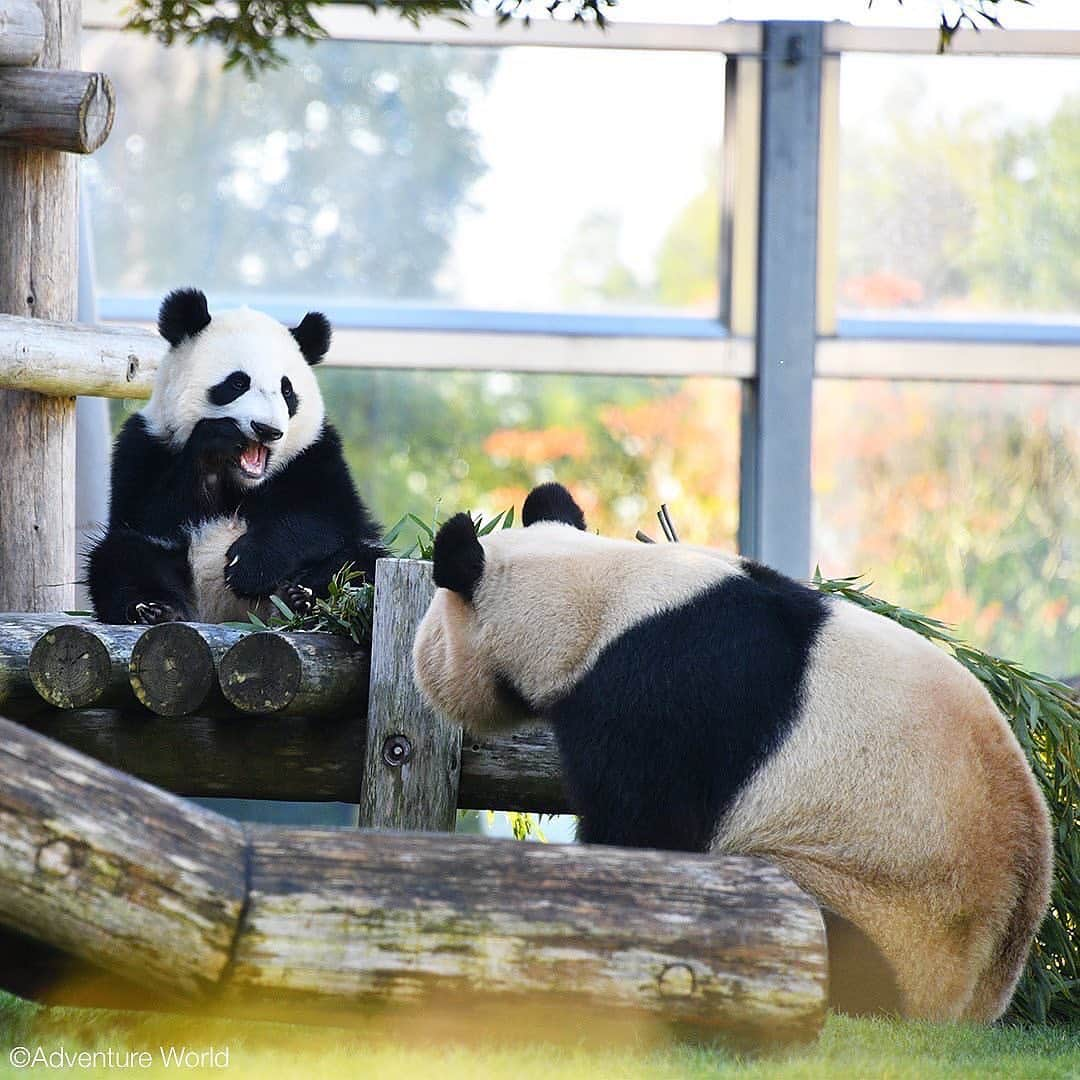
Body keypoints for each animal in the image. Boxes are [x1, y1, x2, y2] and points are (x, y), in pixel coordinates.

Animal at [87, 287, 388, 626]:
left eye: (287, 391)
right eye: (237, 383)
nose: (267, 429)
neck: (242, 483)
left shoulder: (315, 454)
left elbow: (324, 518)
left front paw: (249, 566)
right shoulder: (144, 447)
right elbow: (150, 518)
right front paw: (214, 443)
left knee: (360, 563)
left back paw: (301, 598)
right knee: (121, 556)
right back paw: (156, 608)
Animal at [412, 481, 1054, 1019]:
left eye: (437, 623)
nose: (423, 669)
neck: (602, 592)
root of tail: (977, 1002)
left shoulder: (662, 695)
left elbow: (648, 825)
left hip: (883, 909)